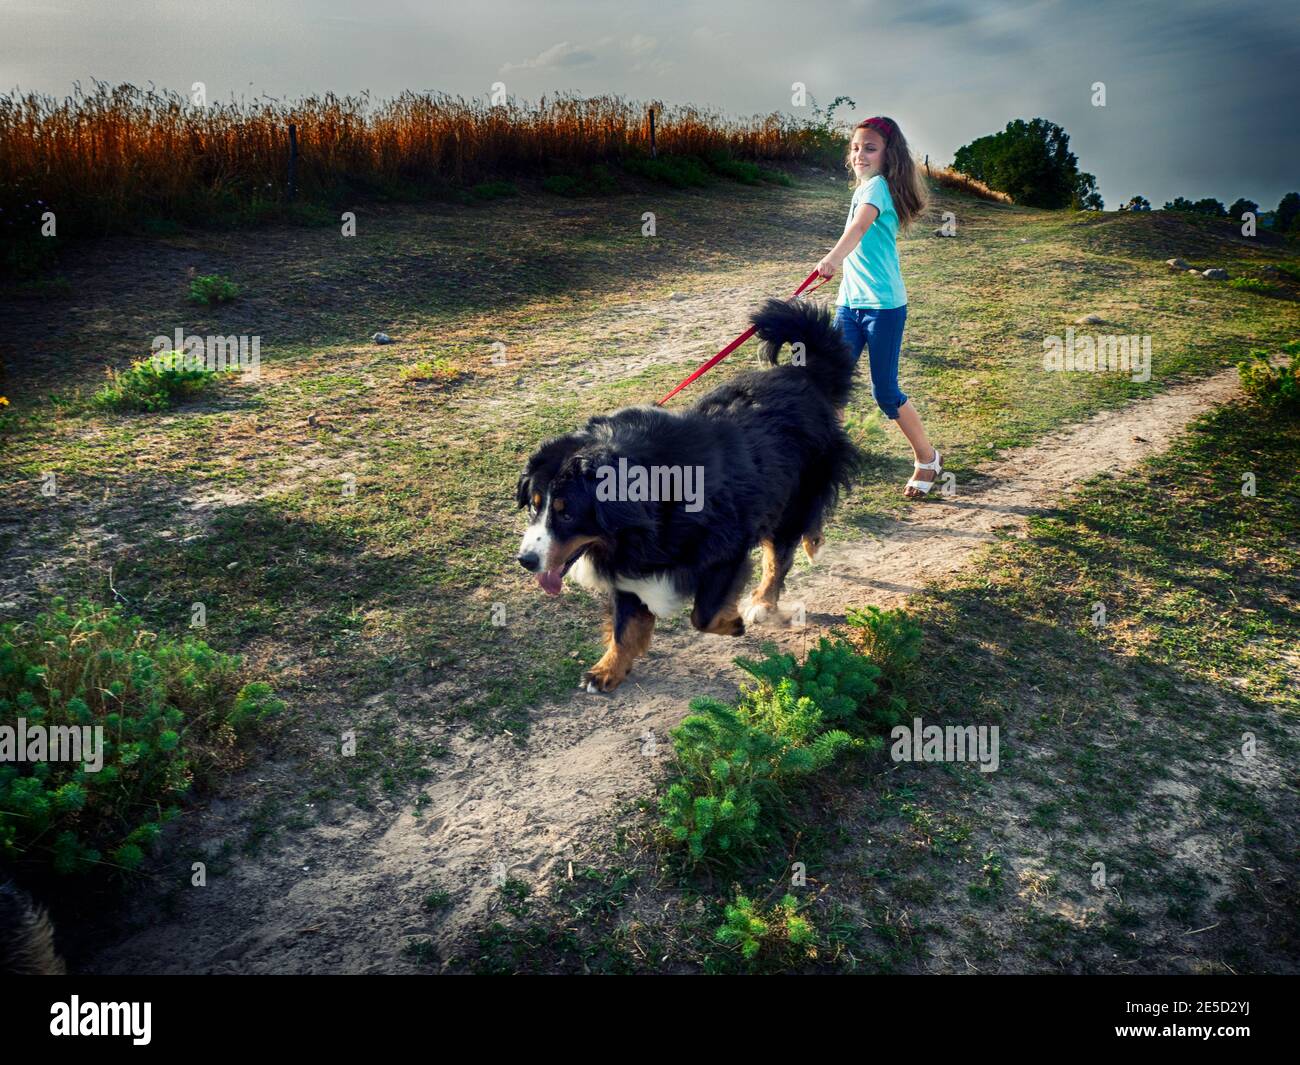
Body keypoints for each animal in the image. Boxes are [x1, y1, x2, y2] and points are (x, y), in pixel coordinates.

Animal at [514, 295, 863, 696]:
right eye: (535, 507)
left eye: (567, 513)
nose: (526, 560)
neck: (648, 500)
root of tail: (804, 374)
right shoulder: (630, 560)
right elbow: (625, 623)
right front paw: (607, 670)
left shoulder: (725, 546)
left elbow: (703, 614)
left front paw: (734, 623)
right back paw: (812, 543)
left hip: (797, 488)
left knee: (780, 552)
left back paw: (765, 598)